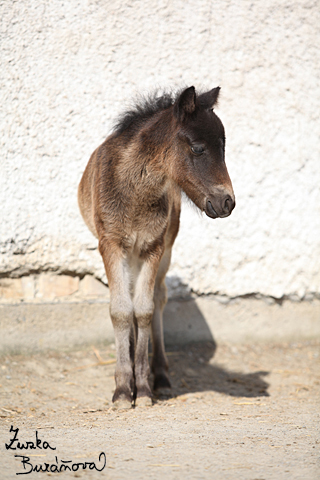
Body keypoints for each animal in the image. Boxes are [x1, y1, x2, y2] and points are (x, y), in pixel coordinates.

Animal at [78, 87, 235, 408]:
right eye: (198, 148)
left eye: (224, 148)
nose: (227, 202)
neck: (136, 191)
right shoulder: (111, 246)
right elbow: (121, 310)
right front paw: (123, 390)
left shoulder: (153, 247)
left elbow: (145, 310)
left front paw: (143, 388)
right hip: (129, 254)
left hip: (164, 250)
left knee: (158, 298)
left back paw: (159, 375)